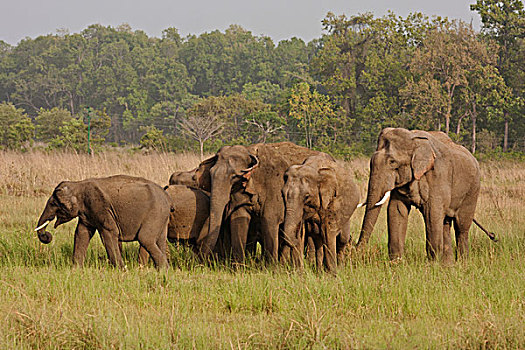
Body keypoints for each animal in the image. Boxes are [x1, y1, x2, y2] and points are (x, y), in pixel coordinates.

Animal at [33, 175, 172, 268]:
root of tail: (167, 197)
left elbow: (109, 232)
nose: (47, 235)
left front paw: (122, 270)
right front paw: (76, 269)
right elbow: (81, 233)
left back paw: (163, 269)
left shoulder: (99, 206)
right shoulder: (87, 212)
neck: (78, 185)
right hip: (162, 217)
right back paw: (161, 269)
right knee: (159, 240)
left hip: (155, 212)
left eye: (53, 203)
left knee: (145, 238)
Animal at [354, 128, 482, 262]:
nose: (356, 251)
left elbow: (432, 213)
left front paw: (433, 264)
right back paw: (448, 264)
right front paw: (396, 262)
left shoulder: (438, 176)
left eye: (392, 162)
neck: (413, 138)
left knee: (461, 227)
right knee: (445, 224)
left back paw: (463, 262)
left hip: (473, 190)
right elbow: (397, 210)